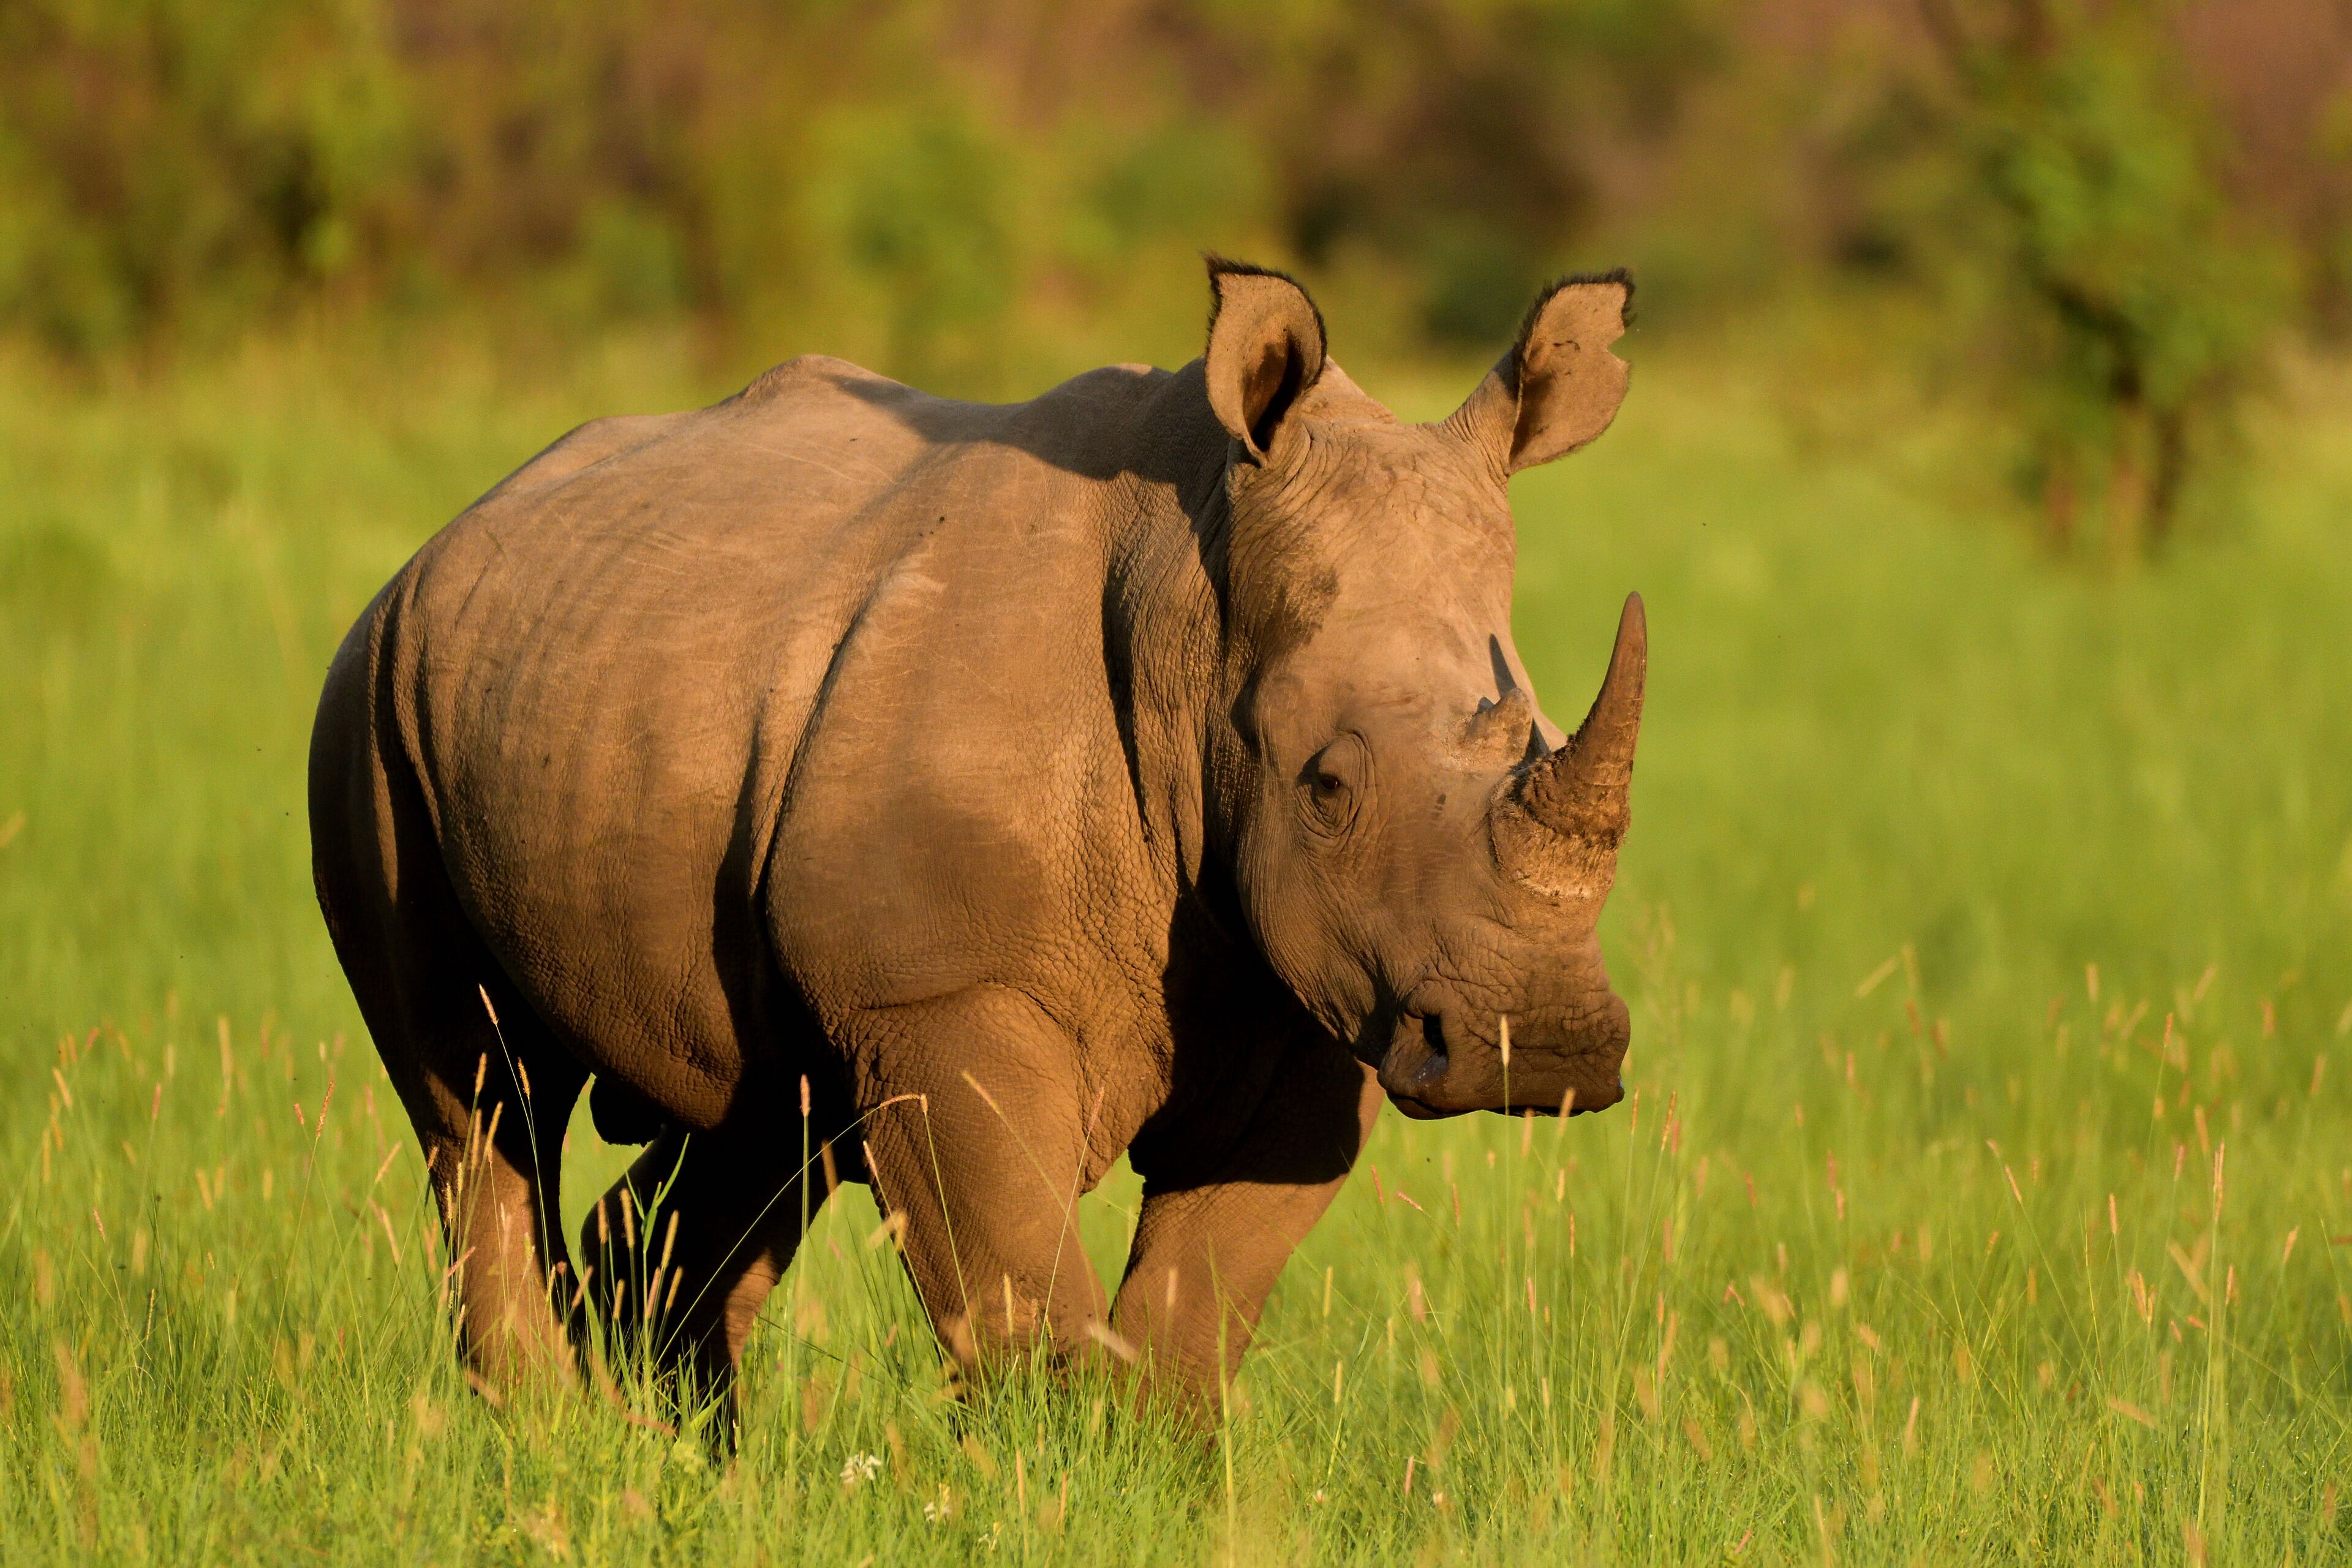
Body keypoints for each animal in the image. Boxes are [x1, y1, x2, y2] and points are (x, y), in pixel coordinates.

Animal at [309, 258, 1645, 1418]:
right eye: (1327, 787)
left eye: (1540, 732)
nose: (1550, 1048)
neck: (1197, 605)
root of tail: (451, 530)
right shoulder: (940, 991)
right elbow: (1017, 1302)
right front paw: (1054, 1484)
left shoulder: (1327, 996)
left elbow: (1191, 1318)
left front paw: (1149, 1483)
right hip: (370, 701)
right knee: (479, 1106)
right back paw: (541, 1439)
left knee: (758, 1117)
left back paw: (674, 1456)